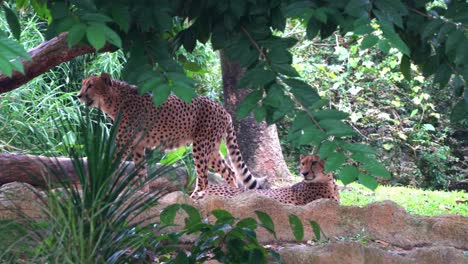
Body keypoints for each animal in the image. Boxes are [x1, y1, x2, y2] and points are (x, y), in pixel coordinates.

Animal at [78, 72, 266, 194]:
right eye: (83, 84)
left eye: (90, 85)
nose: (79, 95)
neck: (113, 100)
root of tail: (224, 110)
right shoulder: (138, 145)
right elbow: (141, 171)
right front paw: (141, 193)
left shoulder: (124, 143)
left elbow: (111, 165)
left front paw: (101, 187)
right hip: (212, 149)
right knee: (230, 171)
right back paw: (231, 196)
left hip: (200, 146)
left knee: (204, 178)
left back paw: (196, 198)